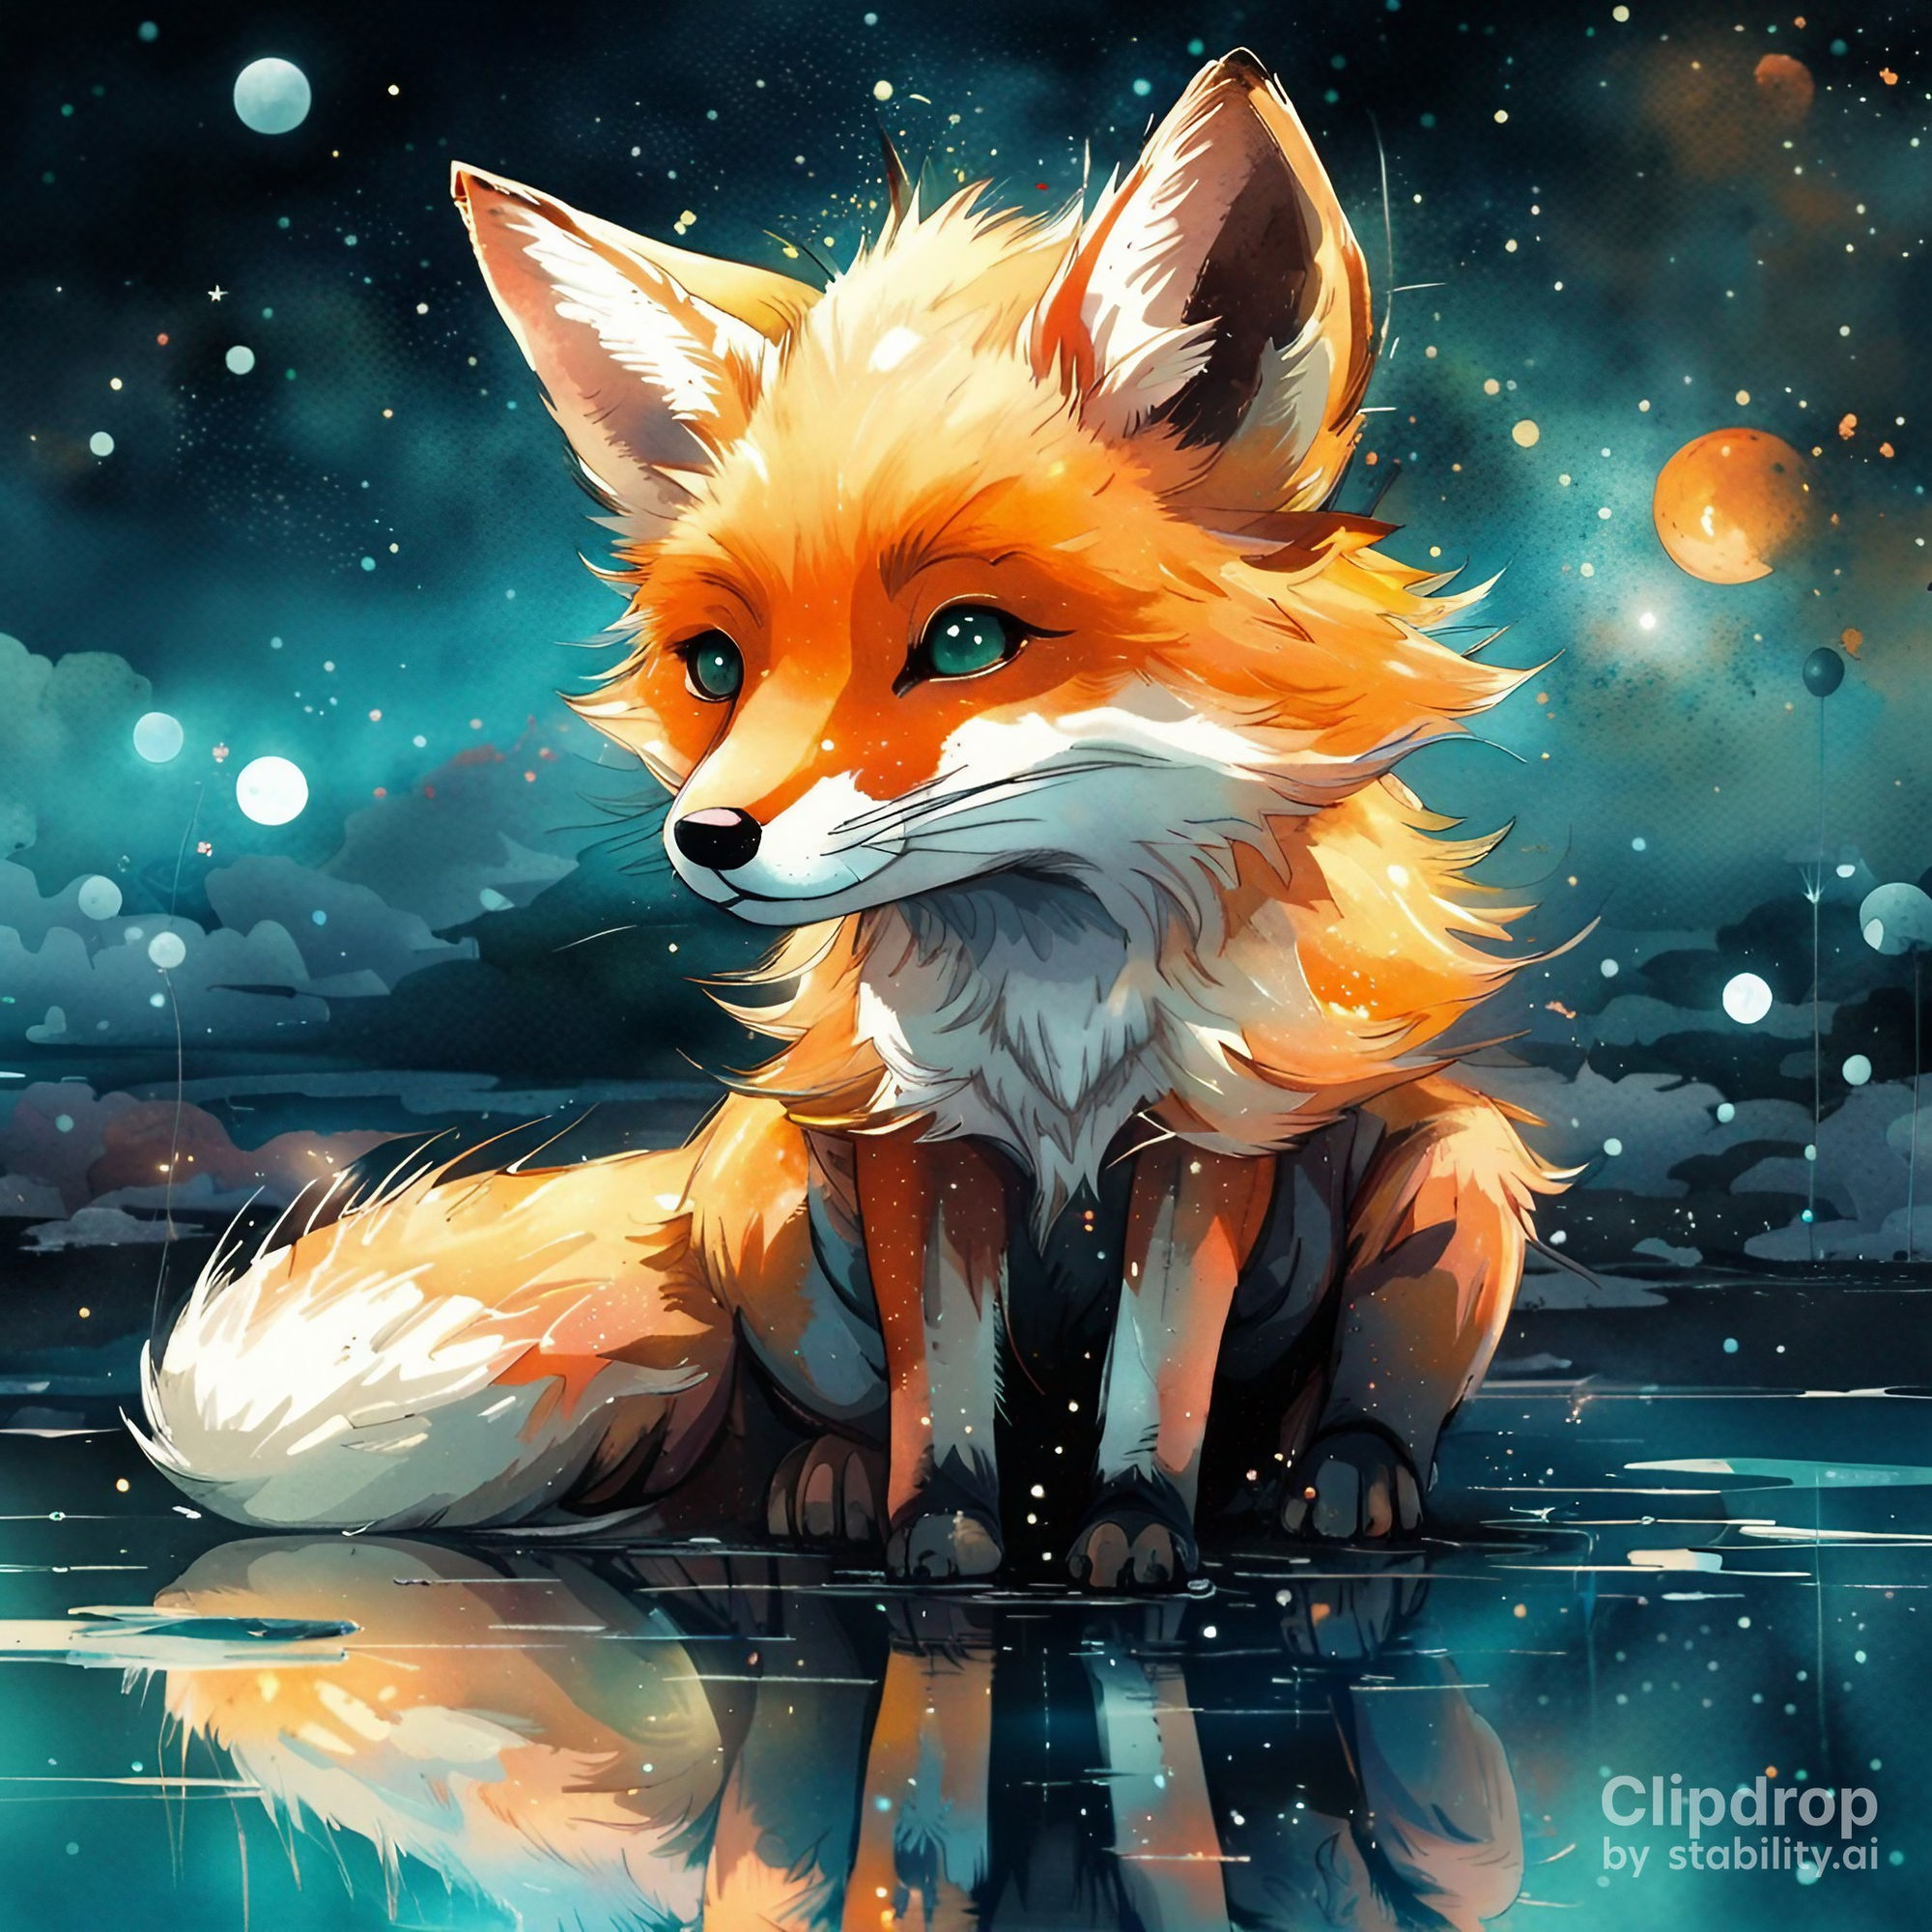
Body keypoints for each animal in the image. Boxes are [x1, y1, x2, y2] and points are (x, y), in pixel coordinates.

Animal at [136, 51, 1556, 1587]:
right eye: (715, 666)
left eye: (968, 638)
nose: (707, 841)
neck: (1051, 982)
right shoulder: (910, 1130)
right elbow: (937, 1389)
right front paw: (935, 1536)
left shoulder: (1210, 1123)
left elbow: (1159, 1379)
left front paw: (1135, 1529)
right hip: (759, 1190)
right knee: (821, 1410)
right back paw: (824, 1483)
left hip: (1455, 1173)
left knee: (1346, 1402)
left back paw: (1338, 1476)